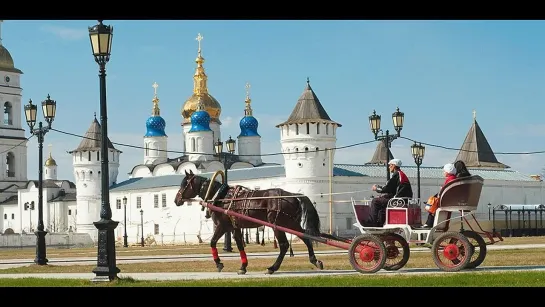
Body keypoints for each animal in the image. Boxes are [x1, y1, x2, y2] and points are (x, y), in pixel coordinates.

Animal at [174, 170, 324, 276]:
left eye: (184, 184)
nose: (176, 200)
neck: (221, 197)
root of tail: (292, 195)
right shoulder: (234, 227)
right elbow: (240, 245)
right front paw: (243, 267)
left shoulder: (222, 226)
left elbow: (212, 242)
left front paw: (219, 263)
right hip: (291, 223)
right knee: (305, 237)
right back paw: (314, 260)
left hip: (278, 224)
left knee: (284, 245)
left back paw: (272, 268)